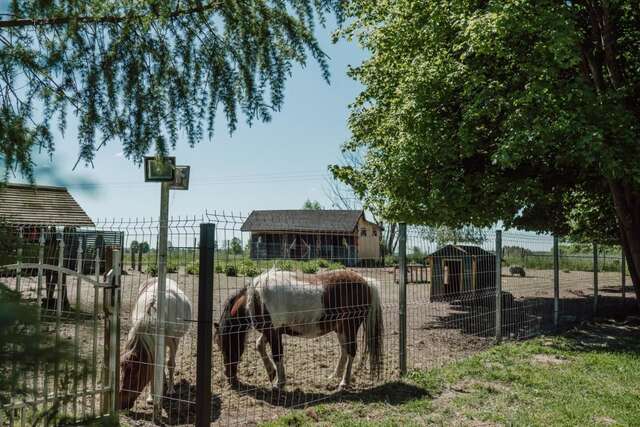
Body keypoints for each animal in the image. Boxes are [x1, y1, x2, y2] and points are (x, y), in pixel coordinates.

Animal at [119, 280, 191, 410]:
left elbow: (170, 364)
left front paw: (170, 390)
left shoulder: (173, 341)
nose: (122, 405)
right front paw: (151, 397)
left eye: (134, 376)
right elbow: (154, 366)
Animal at [215, 270, 384, 392]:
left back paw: (344, 382)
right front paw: (271, 373)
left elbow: (277, 355)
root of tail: (366, 282)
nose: (229, 377)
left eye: (224, 345)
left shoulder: (274, 333)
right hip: (341, 328)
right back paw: (335, 375)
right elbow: (259, 345)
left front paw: (279, 383)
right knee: (344, 350)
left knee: (351, 351)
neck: (257, 297)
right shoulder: (270, 331)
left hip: (350, 326)